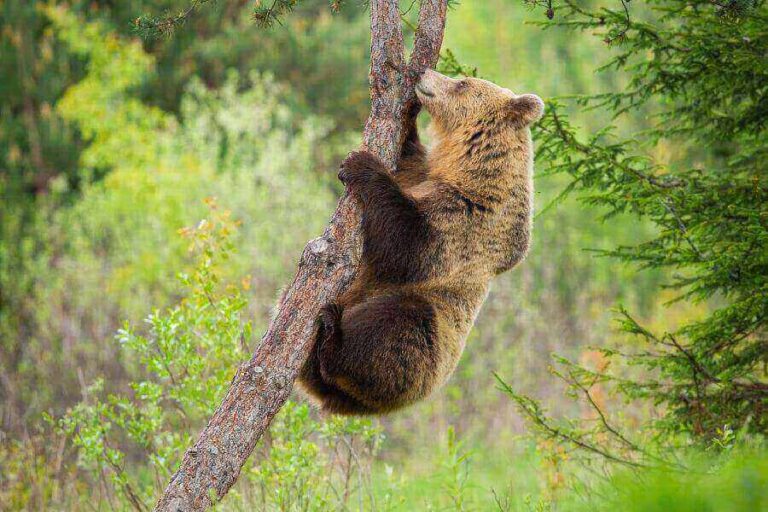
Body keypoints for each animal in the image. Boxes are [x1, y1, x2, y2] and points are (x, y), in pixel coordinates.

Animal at [297, 69, 544, 415]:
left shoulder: (464, 225)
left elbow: (404, 245)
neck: (468, 173)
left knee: (398, 326)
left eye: (462, 83)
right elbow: (408, 158)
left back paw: (333, 336)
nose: (426, 72)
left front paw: (361, 163)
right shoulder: (422, 176)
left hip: (427, 350)